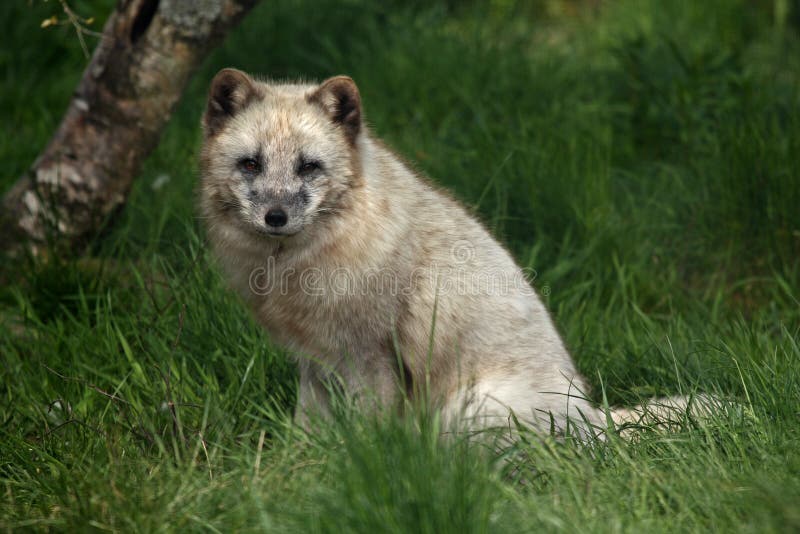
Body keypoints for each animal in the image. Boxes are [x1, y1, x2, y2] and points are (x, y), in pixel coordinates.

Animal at [198, 69, 708, 440]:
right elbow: (308, 429)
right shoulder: (315, 361)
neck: (290, 267)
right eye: (251, 164)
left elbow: (366, 438)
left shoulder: (370, 360)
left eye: (308, 167)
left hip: (469, 410)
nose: (276, 216)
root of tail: (594, 422)